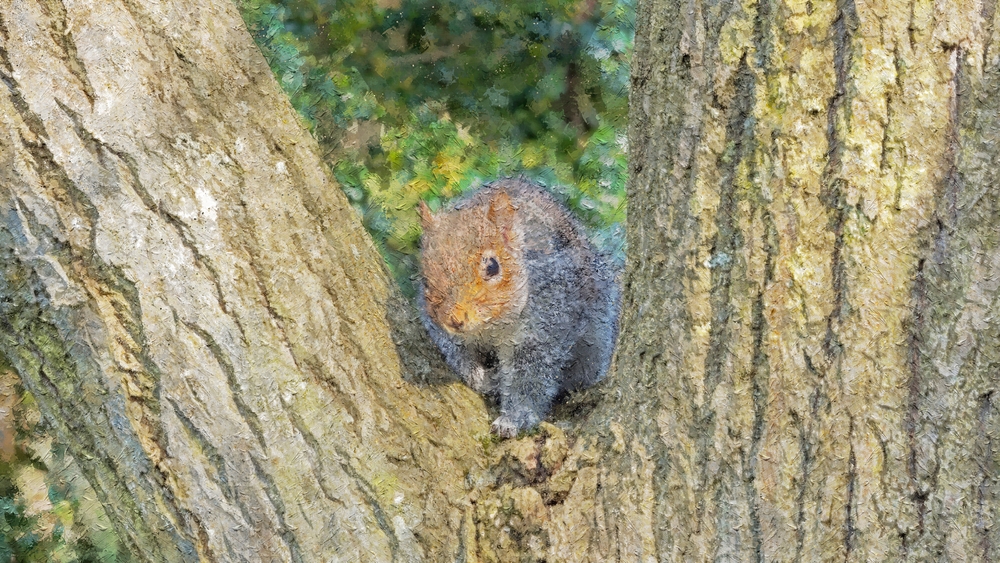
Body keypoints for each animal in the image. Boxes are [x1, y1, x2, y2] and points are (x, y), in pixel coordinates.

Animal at [414, 178, 616, 438]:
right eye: (425, 280)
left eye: (492, 266)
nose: (456, 320)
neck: (492, 326)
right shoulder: (439, 327)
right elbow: (456, 352)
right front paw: (478, 376)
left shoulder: (545, 326)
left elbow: (529, 379)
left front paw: (514, 419)